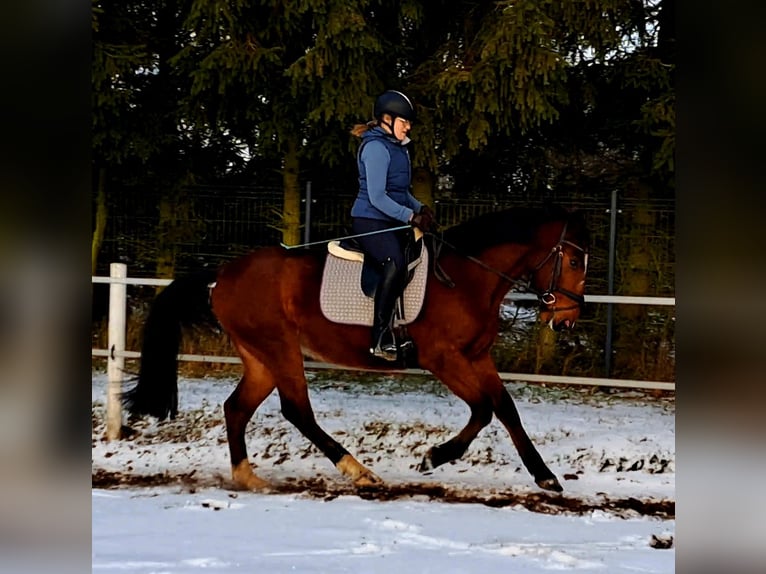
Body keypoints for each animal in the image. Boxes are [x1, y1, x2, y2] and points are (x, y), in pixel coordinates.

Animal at [124, 204, 589, 493]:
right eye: (573, 260)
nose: (566, 319)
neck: (466, 278)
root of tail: (222, 274)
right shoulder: (443, 359)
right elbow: (483, 410)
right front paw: (433, 457)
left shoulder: (476, 357)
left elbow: (505, 409)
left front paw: (546, 477)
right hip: (279, 347)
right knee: (297, 411)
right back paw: (358, 471)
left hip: (261, 356)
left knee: (237, 408)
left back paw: (248, 477)